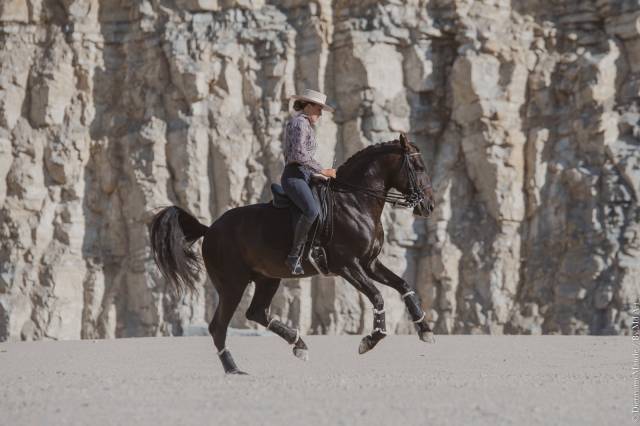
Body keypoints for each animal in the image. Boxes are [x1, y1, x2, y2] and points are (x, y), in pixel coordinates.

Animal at [149, 133, 436, 374]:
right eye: (419, 167)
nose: (429, 206)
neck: (355, 202)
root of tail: (210, 230)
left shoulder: (369, 263)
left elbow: (403, 285)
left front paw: (425, 330)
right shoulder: (348, 266)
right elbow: (377, 296)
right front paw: (369, 340)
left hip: (267, 279)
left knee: (256, 313)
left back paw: (298, 345)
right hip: (232, 285)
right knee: (218, 327)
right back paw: (234, 369)